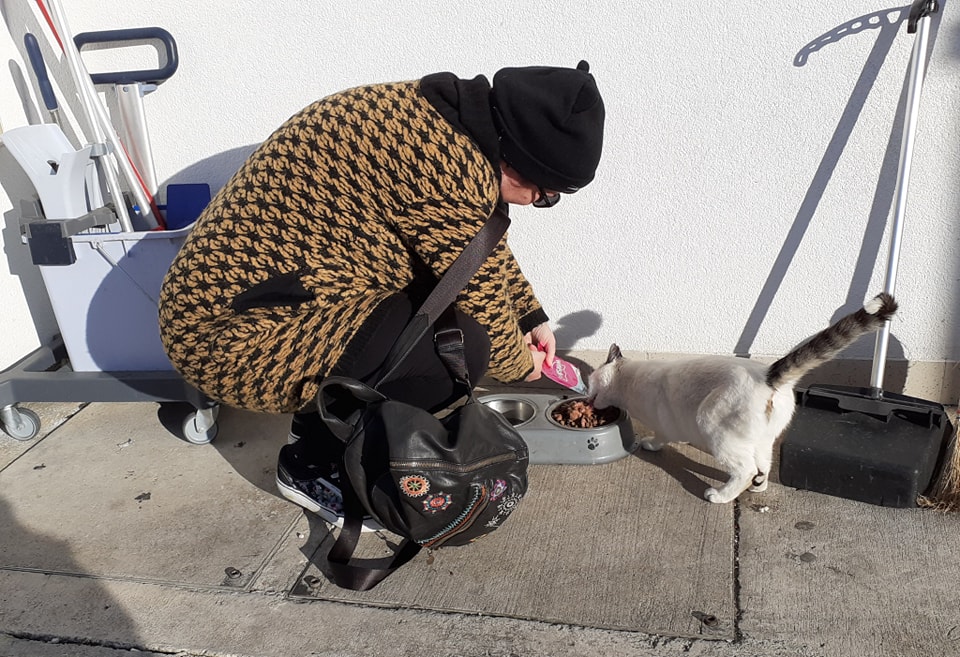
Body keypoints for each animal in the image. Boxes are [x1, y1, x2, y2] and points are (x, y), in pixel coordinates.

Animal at [588, 292, 896, 502]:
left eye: (591, 384)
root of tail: (769, 375)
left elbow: (660, 438)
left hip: (713, 424)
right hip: (763, 440)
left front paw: (650, 444)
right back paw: (760, 485)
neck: (630, 378)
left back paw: (721, 495)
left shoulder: (665, 426)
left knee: (745, 469)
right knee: (763, 465)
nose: (587, 396)